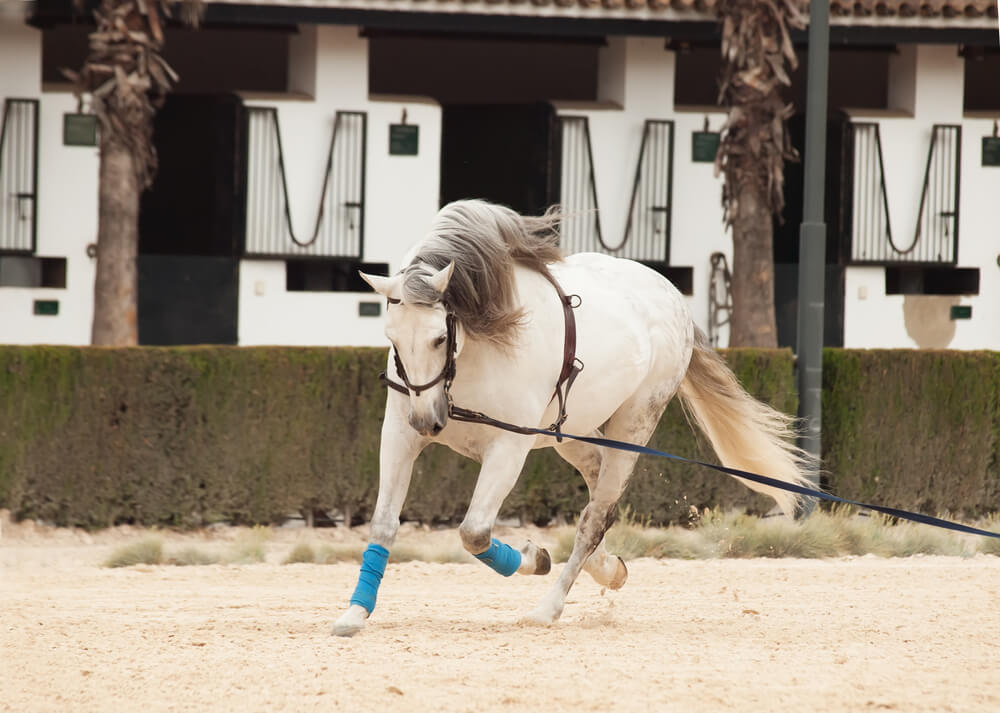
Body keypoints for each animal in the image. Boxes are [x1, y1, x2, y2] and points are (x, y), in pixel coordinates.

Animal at [334, 199, 812, 636]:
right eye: (392, 337)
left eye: (438, 338)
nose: (428, 422)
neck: (475, 348)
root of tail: (673, 297)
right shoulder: (400, 434)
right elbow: (383, 525)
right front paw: (355, 613)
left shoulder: (508, 448)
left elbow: (474, 532)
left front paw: (535, 557)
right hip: (572, 433)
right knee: (599, 501)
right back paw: (610, 569)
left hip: (632, 428)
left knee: (594, 518)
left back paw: (548, 608)